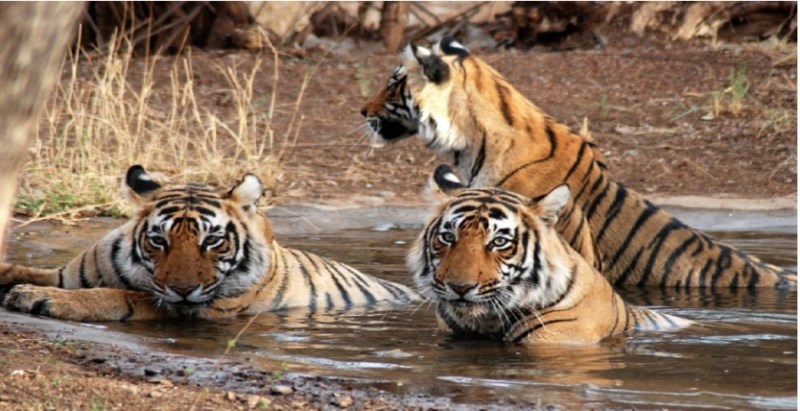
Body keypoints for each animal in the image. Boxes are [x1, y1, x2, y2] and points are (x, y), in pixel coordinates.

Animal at [0, 165, 419, 321]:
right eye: (159, 240)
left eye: (213, 241)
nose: (183, 289)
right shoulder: (66, 273)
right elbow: (26, 269)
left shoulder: (194, 308)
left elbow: (118, 296)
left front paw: (38, 298)